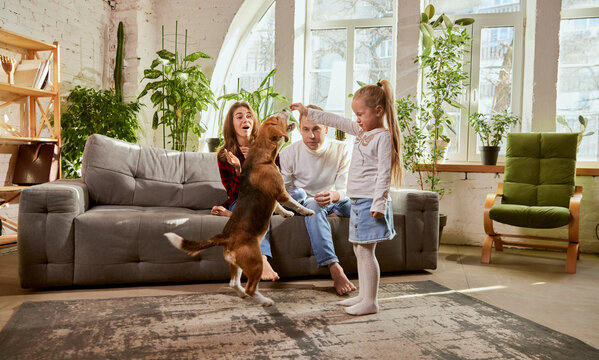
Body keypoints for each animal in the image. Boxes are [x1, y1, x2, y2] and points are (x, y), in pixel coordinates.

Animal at [165, 110, 314, 306]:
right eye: (276, 118)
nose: (284, 110)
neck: (261, 157)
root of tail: (226, 237)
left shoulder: (275, 197)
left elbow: (280, 208)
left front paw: (287, 213)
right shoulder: (281, 193)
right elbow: (293, 203)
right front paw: (306, 211)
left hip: (235, 265)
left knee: (233, 283)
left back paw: (243, 294)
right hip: (255, 262)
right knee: (251, 287)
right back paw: (265, 301)